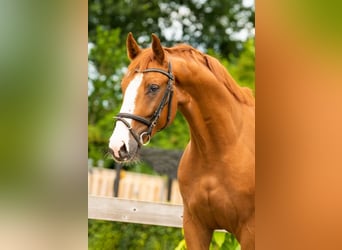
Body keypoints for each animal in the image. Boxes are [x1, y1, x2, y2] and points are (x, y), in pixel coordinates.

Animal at [109, 33, 254, 250]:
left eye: (153, 87)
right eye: (123, 86)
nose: (118, 146)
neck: (220, 150)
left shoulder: (249, 232)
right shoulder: (195, 226)